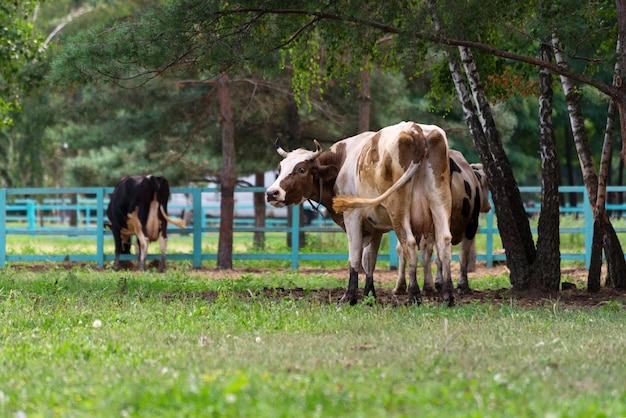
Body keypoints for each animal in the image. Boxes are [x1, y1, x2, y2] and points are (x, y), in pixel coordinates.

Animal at [266, 122, 450, 306]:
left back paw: (414, 296)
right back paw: (447, 297)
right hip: (439, 202)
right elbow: (369, 260)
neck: (342, 160)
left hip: (398, 210)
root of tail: (415, 129)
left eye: (302, 169)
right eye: (280, 168)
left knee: (409, 244)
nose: (271, 193)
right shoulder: (376, 227)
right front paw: (369, 295)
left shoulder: (352, 216)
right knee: (444, 241)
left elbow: (355, 257)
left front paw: (349, 296)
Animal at [392, 149, 490, 296]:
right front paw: (462, 285)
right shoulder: (472, 224)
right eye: (487, 186)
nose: (488, 206)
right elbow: (463, 255)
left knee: (404, 248)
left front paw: (438, 282)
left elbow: (437, 256)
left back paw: (402, 286)